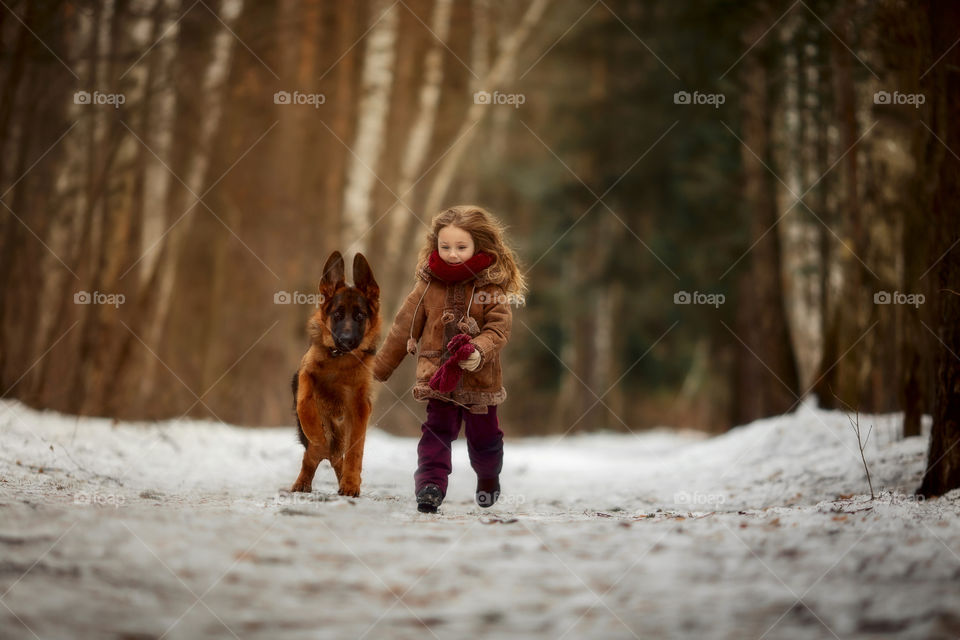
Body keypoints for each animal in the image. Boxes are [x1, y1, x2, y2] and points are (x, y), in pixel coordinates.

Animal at [290, 250, 380, 496]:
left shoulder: (360, 407)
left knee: (337, 455)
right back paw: (302, 481)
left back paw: (344, 480)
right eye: (338, 315)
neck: (340, 360)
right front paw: (315, 433)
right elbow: (304, 402)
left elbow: (355, 451)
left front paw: (351, 483)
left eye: (360, 316)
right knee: (314, 455)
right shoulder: (305, 373)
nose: (347, 340)